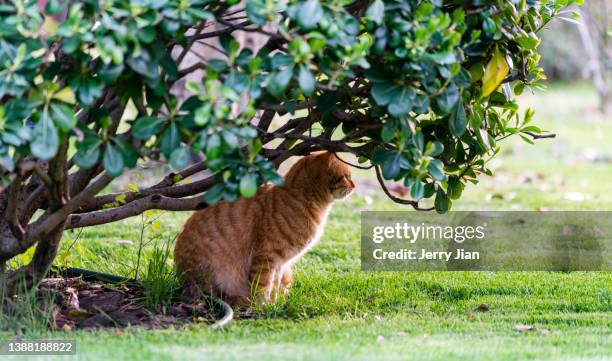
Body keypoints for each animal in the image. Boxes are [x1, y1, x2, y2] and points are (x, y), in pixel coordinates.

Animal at [172, 150, 354, 306]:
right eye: (347, 176)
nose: (354, 186)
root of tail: (182, 281)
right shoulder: (267, 257)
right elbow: (263, 286)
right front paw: (263, 307)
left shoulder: (280, 263)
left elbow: (274, 285)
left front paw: (274, 305)